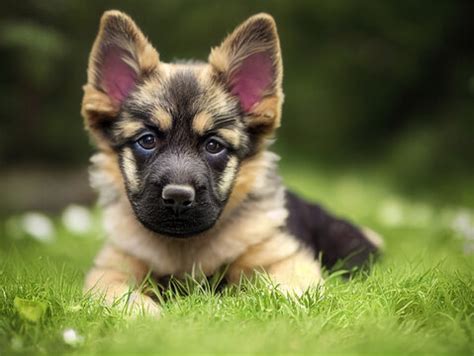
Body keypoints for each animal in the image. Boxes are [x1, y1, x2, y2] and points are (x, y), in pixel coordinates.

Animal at [81, 10, 382, 314]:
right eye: (147, 140)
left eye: (214, 146)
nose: (177, 197)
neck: (184, 247)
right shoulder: (109, 270)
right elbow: (119, 296)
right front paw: (147, 315)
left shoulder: (286, 259)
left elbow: (287, 293)